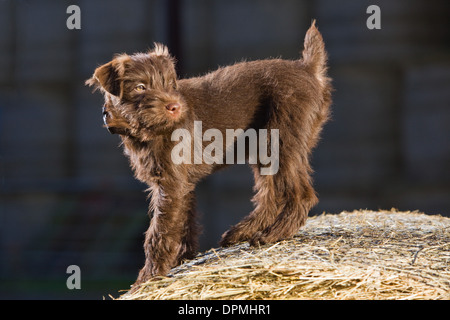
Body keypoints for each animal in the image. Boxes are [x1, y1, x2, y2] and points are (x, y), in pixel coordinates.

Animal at [86, 21, 330, 286]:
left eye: (170, 84)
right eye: (140, 87)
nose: (175, 107)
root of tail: (307, 68)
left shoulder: (171, 185)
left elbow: (159, 232)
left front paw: (148, 278)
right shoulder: (178, 184)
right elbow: (183, 224)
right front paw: (181, 259)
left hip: (279, 142)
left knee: (300, 194)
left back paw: (272, 234)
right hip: (266, 148)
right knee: (270, 193)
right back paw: (243, 231)